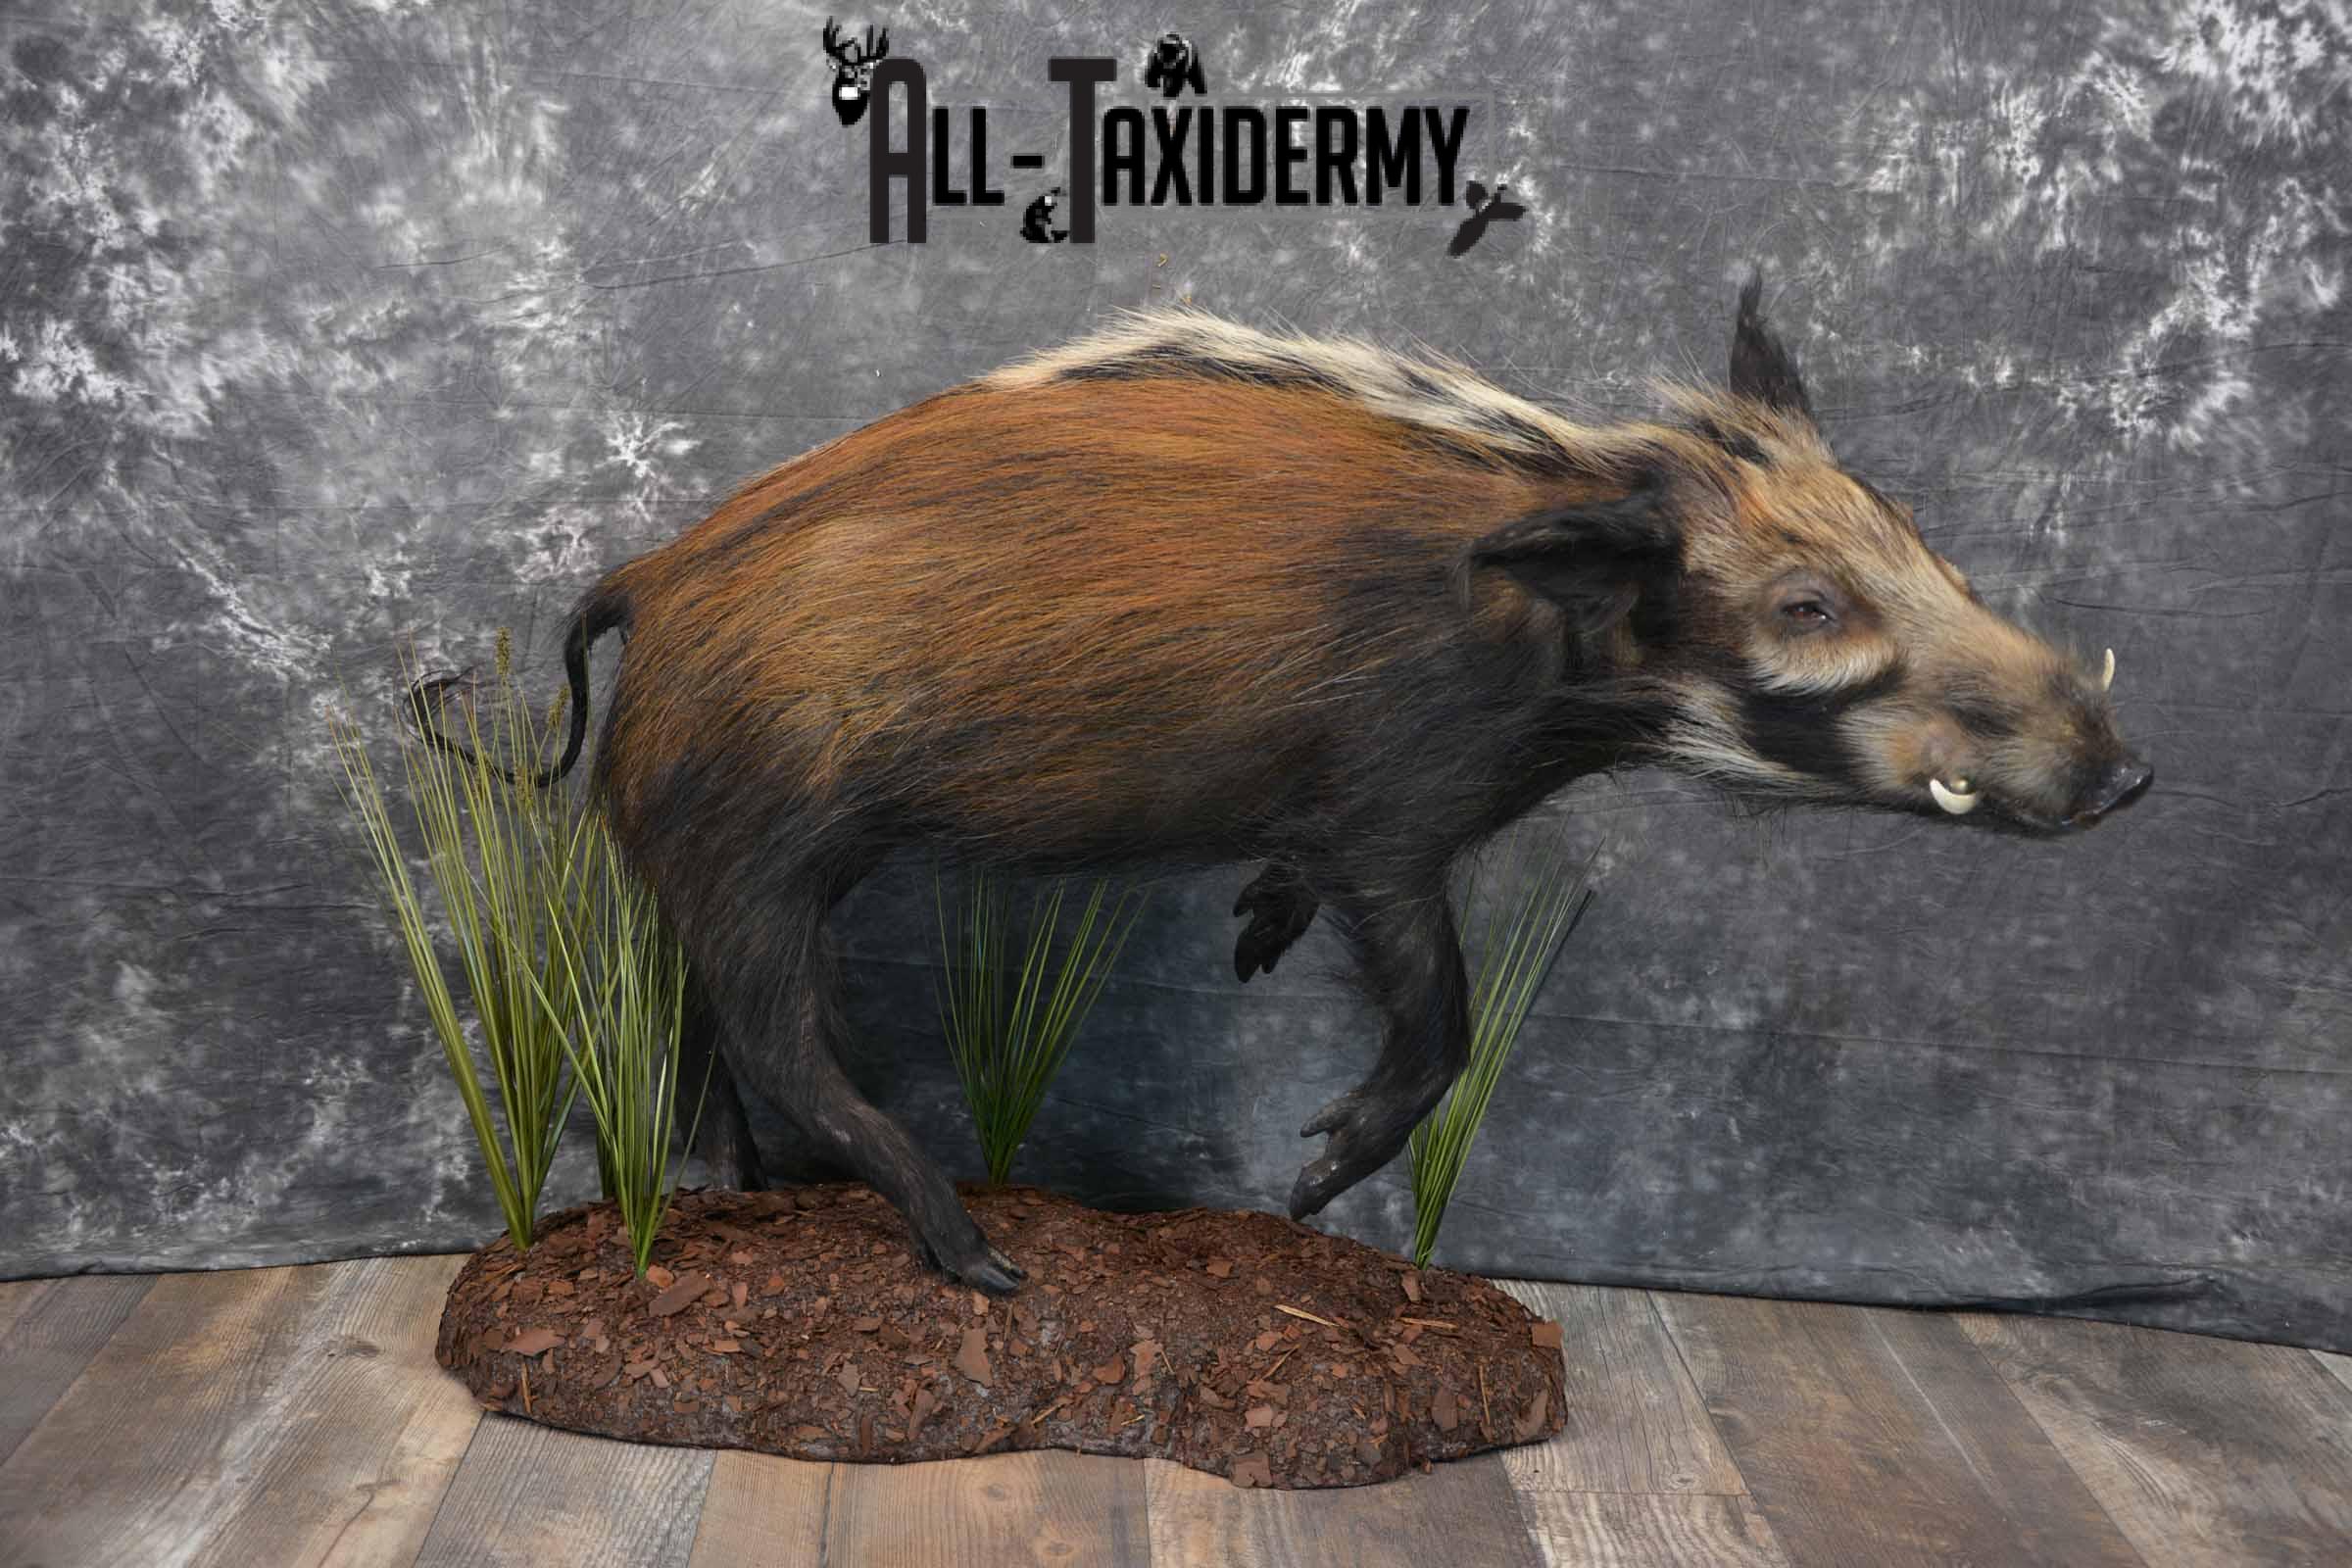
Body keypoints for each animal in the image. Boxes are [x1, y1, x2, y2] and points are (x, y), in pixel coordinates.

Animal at [415, 277, 2150, 1294]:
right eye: (1806, 605)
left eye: (1908, 530)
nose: (2127, 771)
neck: (1534, 629)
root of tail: (643, 580)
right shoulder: (1393, 818)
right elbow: (1441, 1019)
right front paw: (1308, 1186)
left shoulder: (1339, 829)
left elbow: (1315, 908)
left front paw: (1254, 945)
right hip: (759, 862)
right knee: (787, 1047)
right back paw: (979, 1260)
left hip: (694, 871)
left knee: (693, 1039)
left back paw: (737, 1199)